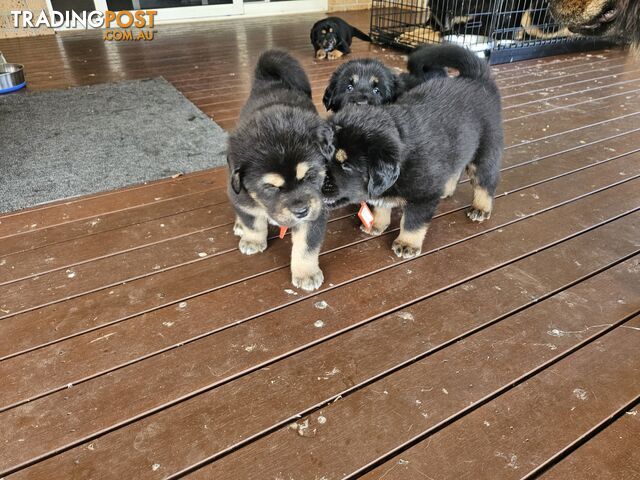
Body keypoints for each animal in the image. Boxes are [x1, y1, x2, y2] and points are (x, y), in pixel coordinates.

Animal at [226, 48, 336, 290]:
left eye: (310, 176)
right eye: (270, 188)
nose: (301, 211)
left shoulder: (316, 210)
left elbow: (306, 247)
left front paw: (306, 274)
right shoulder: (243, 197)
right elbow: (253, 221)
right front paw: (252, 240)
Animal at [324, 45, 504, 260]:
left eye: (346, 165)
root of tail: (477, 79)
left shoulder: (423, 196)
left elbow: (412, 222)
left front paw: (406, 244)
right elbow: (382, 205)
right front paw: (377, 224)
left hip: (485, 150)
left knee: (486, 181)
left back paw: (481, 208)